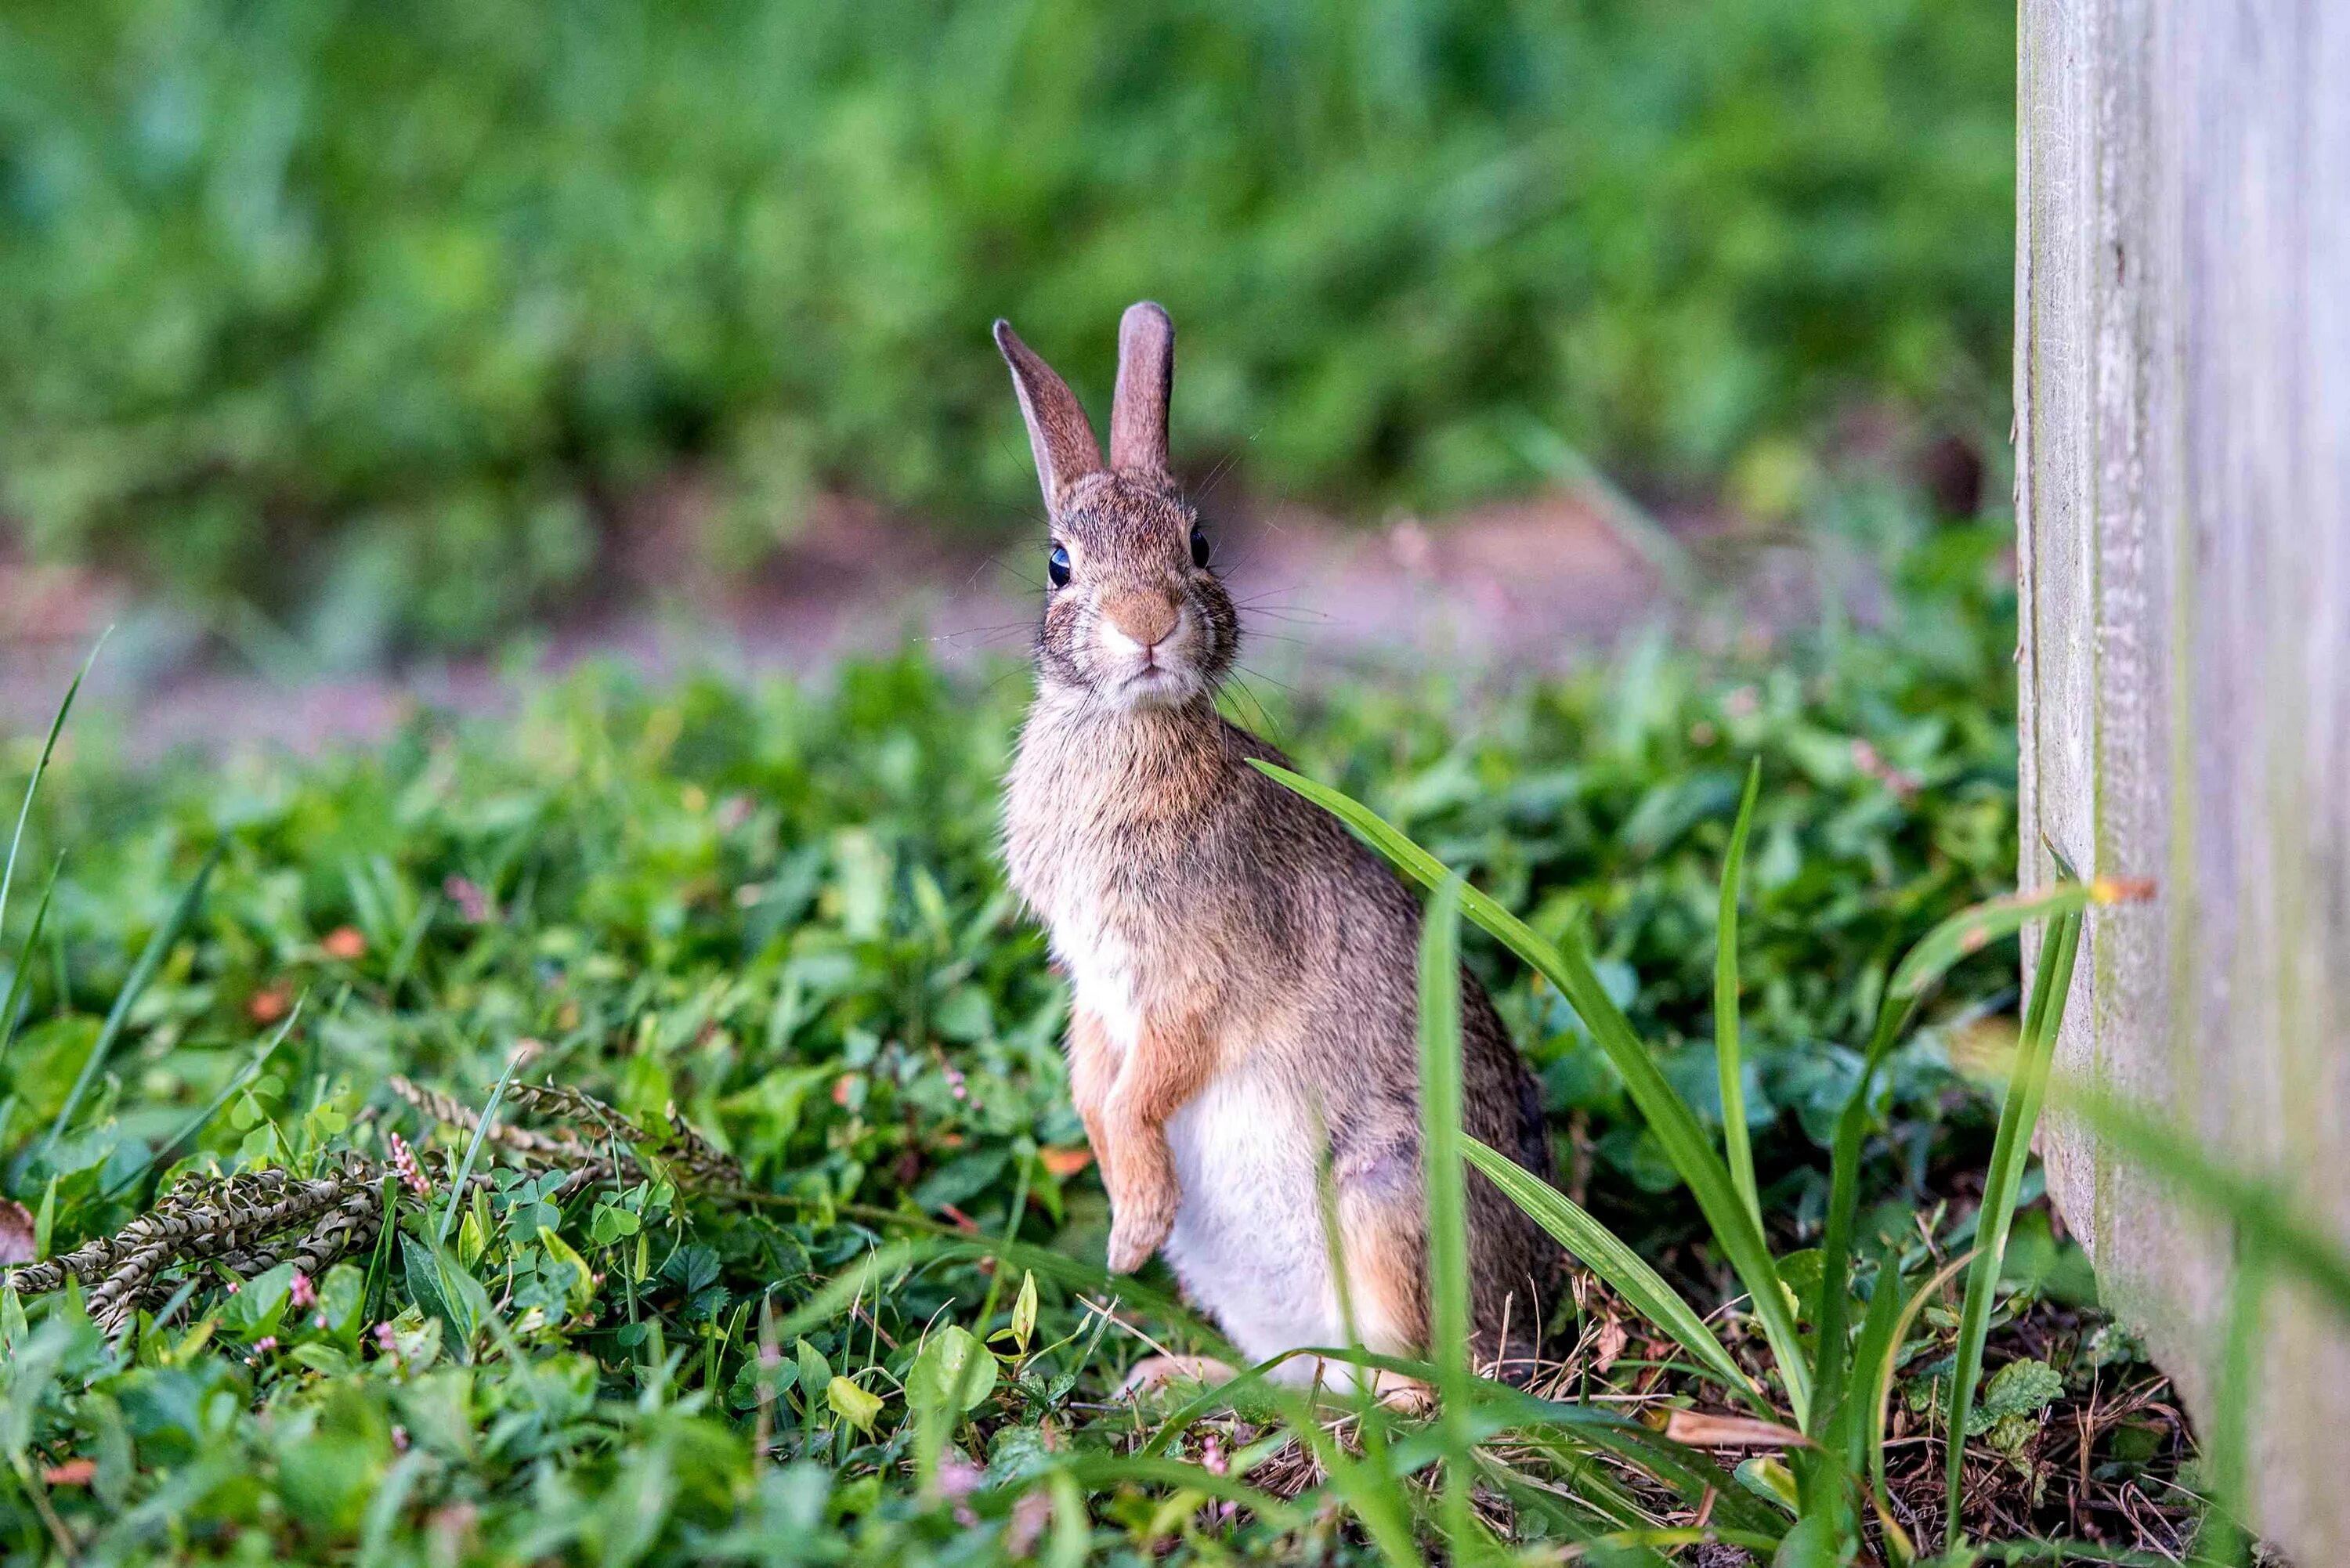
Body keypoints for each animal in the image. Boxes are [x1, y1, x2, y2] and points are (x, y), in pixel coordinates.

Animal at [992, 303, 1560, 1382]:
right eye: (1057, 562)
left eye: (1201, 543)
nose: (1147, 623)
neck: (1128, 732)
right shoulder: (1095, 980)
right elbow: (1092, 1076)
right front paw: (1125, 1212)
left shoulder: (1202, 974)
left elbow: (1144, 1087)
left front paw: (1131, 1228)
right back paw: (1184, 1379)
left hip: (1381, 1199)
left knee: (1412, 1390)